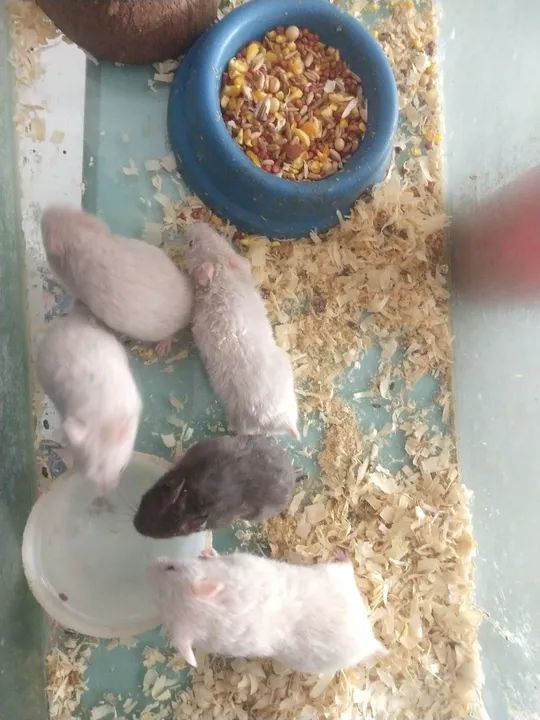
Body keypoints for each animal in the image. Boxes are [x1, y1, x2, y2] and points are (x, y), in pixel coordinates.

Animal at [41, 205, 194, 355]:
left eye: (44, 229)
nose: (45, 211)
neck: (82, 239)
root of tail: (191, 305)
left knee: (171, 334)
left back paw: (162, 349)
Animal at [149, 550, 387, 674]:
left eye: (171, 567)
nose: (151, 563)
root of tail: (370, 641)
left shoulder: (243, 561)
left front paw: (206, 553)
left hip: (335, 574)